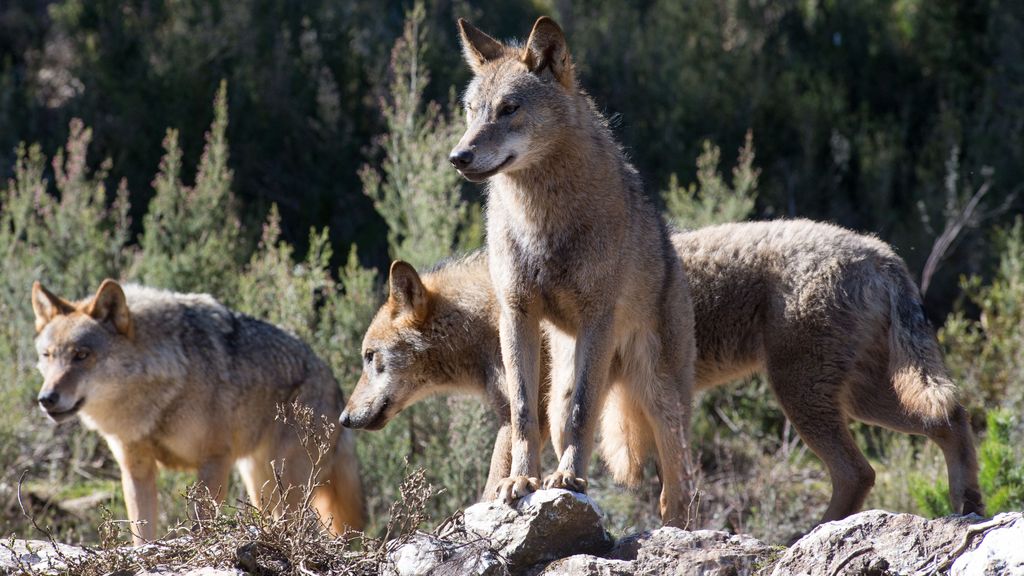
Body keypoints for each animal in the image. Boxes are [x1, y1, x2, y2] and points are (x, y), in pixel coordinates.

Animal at [32, 278, 364, 541]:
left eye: (81, 355)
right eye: (47, 356)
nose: (46, 398)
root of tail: (334, 383)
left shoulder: (214, 460)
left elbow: (201, 525)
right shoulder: (136, 469)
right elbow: (142, 534)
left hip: (288, 486)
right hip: (261, 486)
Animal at [342, 220, 983, 528]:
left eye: (371, 359)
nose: (345, 418)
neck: (488, 316)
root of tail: (882, 252)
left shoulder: (530, 418)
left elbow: (496, 481)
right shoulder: (526, 418)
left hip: (806, 398)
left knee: (859, 470)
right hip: (862, 398)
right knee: (951, 418)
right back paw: (967, 505)